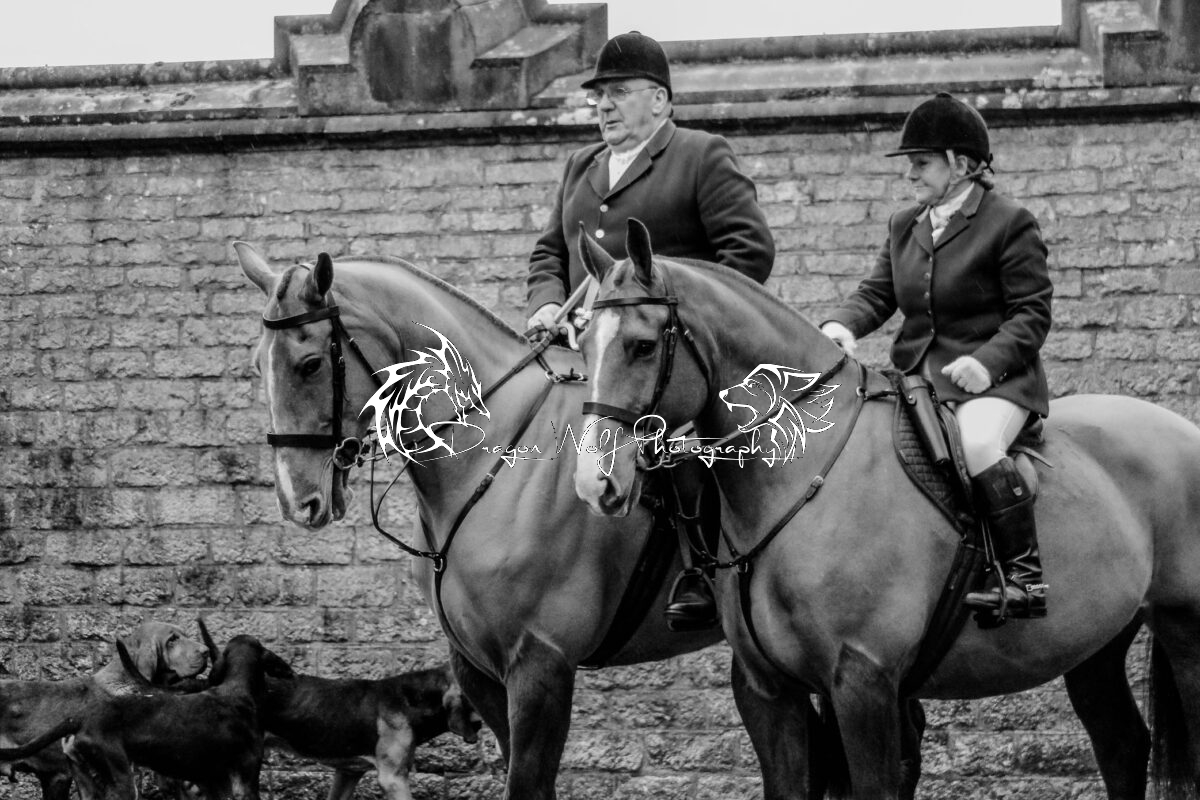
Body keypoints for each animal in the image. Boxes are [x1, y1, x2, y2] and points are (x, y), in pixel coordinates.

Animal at [234, 243, 828, 799]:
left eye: (310, 364)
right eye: (257, 365)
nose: (296, 499)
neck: (494, 457)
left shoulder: (541, 664)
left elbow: (528, 785)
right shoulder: (477, 669)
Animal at [572, 219, 1200, 800]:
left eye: (642, 345)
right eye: (583, 345)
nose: (593, 482)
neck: (806, 475)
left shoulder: (862, 679)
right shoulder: (768, 689)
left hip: (1183, 625)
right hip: (1096, 641)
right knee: (1122, 743)